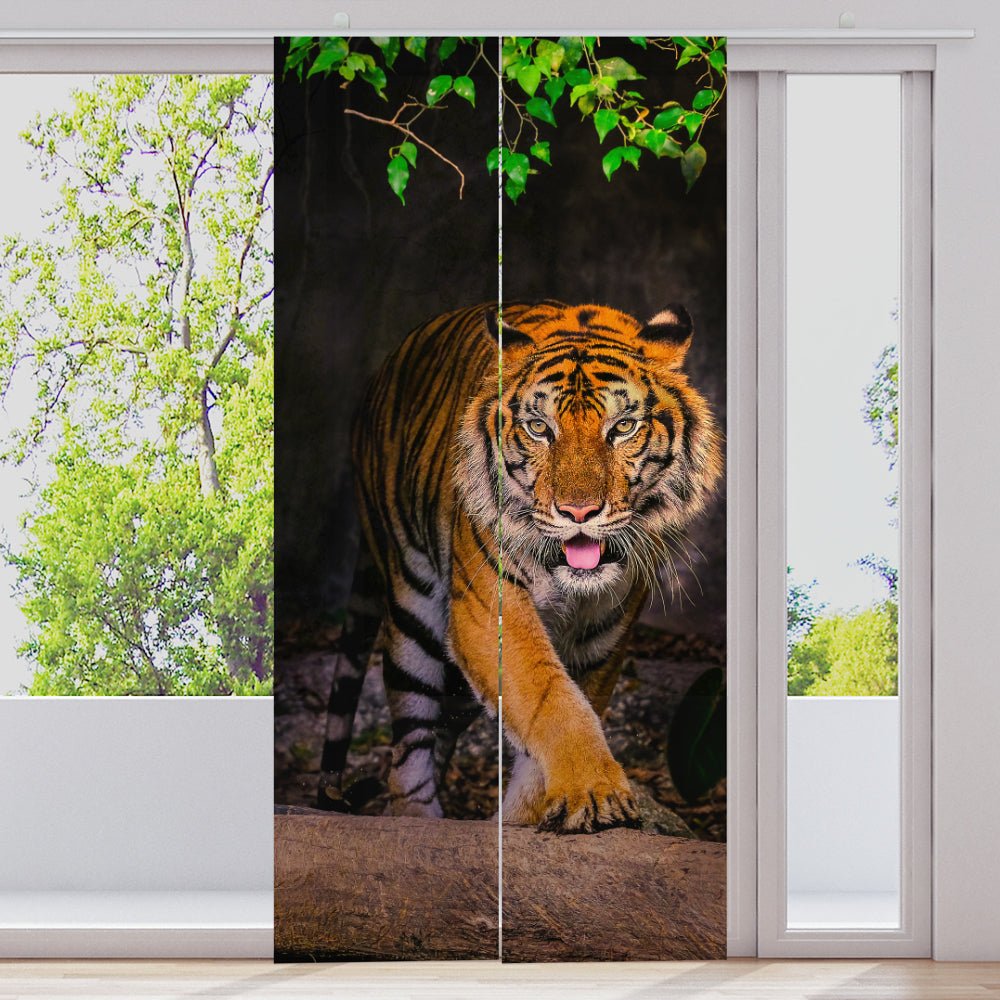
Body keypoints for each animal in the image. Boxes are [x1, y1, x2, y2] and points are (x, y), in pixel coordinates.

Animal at [317, 300, 722, 833]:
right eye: (539, 429)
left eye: (622, 428)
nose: (578, 512)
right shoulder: (489, 611)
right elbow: (552, 699)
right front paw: (596, 791)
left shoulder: (603, 637)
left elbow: (564, 708)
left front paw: (532, 814)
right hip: (412, 609)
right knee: (410, 742)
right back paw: (418, 817)